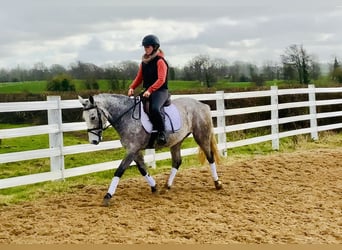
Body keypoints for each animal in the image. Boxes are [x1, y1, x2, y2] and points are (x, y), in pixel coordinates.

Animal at [79, 93, 224, 206]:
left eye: (92, 117)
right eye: (84, 118)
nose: (93, 141)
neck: (127, 117)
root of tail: (202, 105)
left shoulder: (132, 150)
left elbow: (119, 171)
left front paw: (107, 196)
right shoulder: (135, 151)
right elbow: (143, 170)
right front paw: (155, 188)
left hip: (201, 136)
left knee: (210, 157)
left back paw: (217, 183)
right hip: (177, 141)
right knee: (177, 162)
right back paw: (167, 187)